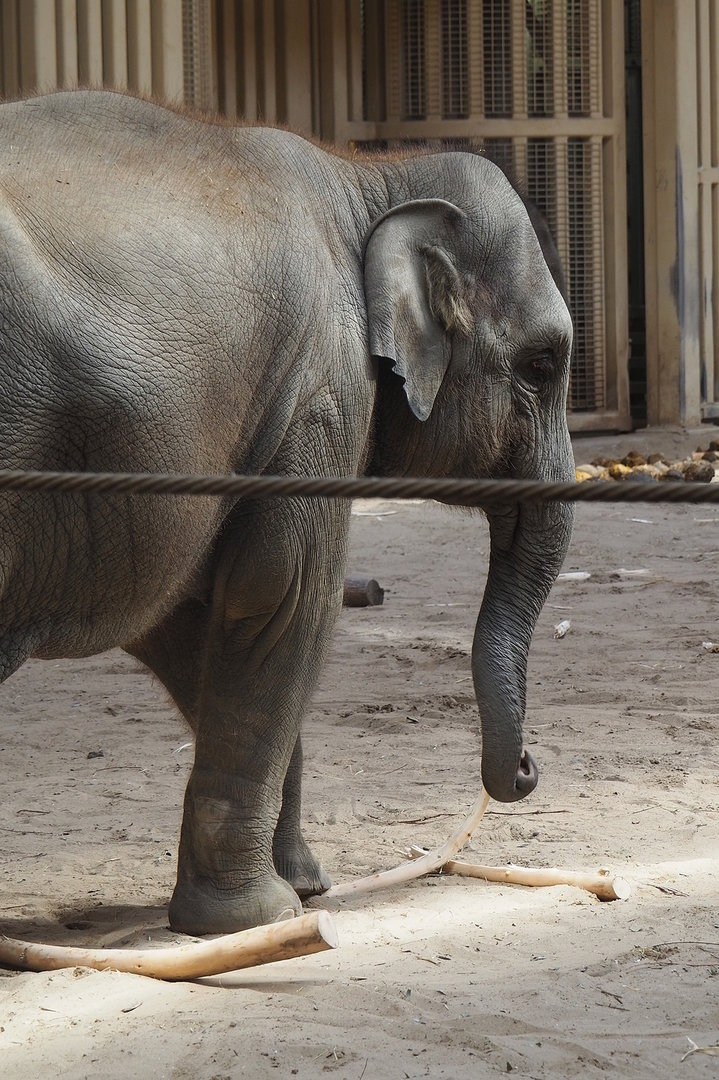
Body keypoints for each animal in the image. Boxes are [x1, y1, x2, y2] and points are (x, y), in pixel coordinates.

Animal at [0, 90, 574, 935]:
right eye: (541, 363)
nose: (530, 767)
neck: (366, 177)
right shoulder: (318, 393)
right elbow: (282, 599)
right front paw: (259, 918)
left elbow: (187, 627)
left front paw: (301, 885)